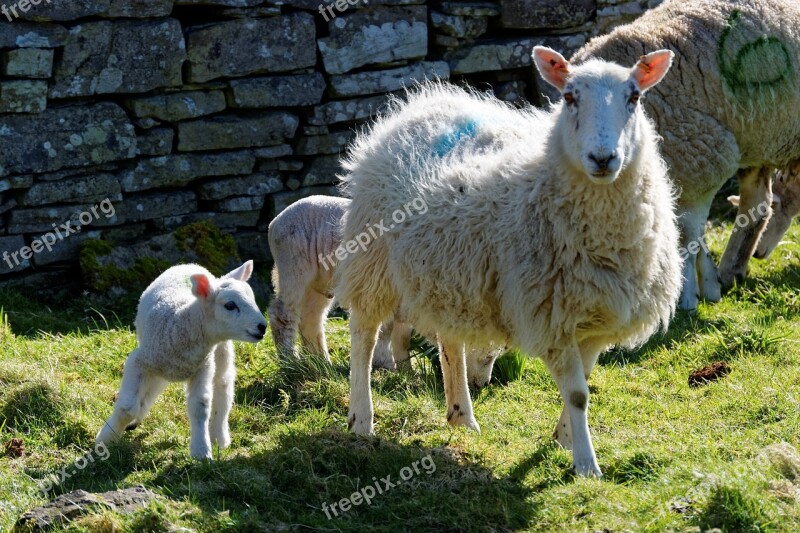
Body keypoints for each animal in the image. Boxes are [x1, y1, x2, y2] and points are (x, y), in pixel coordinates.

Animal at [95, 260, 266, 460]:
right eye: (230, 306)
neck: (183, 322)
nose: (262, 327)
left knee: (223, 388)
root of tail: (191, 264)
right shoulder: (139, 361)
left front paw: (202, 451)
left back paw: (219, 436)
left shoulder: (203, 367)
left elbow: (200, 407)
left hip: (221, 353)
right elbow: (127, 408)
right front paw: (106, 439)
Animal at [270, 194, 506, 382]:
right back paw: (290, 361)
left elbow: (401, 336)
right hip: (293, 255)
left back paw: (321, 362)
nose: (483, 384)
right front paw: (385, 365)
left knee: (312, 316)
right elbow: (385, 330)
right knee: (283, 312)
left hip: (320, 278)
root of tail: (276, 221)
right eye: (487, 358)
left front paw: (406, 370)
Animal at [332, 47, 680, 476]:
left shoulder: (597, 322)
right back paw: (361, 420)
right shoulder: (552, 318)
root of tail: (420, 103)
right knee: (363, 335)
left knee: (450, 341)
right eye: (569, 97)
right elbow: (578, 394)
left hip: (448, 271)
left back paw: (461, 416)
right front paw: (586, 464)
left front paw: (563, 439)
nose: (603, 158)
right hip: (373, 259)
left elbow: (584, 384)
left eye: (634, 97)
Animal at [572, 0, 800, 308]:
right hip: (758, 138)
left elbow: (686, 232)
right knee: (758, 205)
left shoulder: (700, 162)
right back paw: (731, 270)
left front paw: (689, 295)